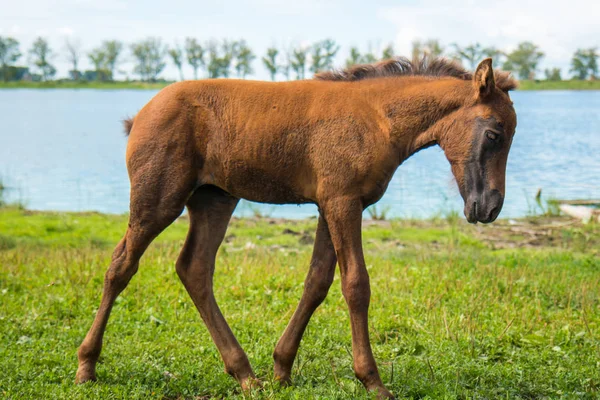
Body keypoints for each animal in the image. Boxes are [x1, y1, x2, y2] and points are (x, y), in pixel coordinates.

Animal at [75, 56, 516, 396]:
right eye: (494, 133)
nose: (490, 207)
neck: (378, 121)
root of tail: (141, 114)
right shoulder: (342, 202)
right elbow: (356, 285)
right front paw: (372, 381)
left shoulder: (331, 204)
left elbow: (317, 281)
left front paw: (282, 369)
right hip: (158, 199)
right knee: (121, 265)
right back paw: (86, 365)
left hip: (215, 198)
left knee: (194, 268)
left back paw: (245, 374)